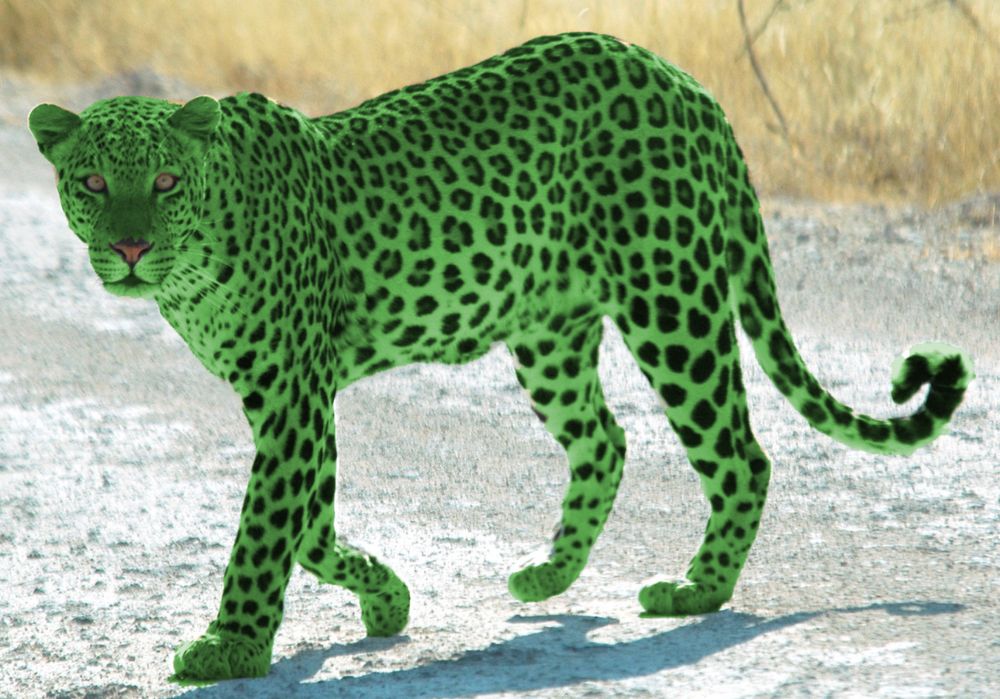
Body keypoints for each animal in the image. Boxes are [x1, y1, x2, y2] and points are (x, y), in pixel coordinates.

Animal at [28, 32, 973, 681]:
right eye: (93, 183)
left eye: (165, 184)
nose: (132, 251)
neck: (198, 259)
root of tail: (680, 76)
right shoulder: (293, 399)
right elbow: (309, 527)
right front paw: (385, 597)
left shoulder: (292, 397)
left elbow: (265, 532)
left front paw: (230, 645)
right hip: (549, 332)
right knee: (606, 438)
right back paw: (550, 575)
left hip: (672, 300)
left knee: (741, 452)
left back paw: (695, 590)